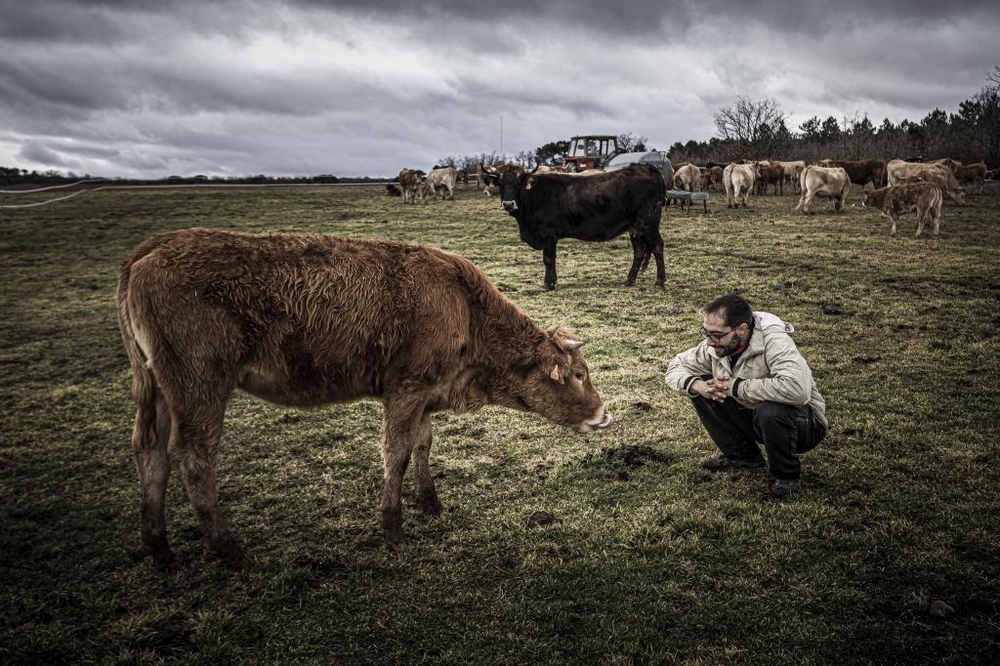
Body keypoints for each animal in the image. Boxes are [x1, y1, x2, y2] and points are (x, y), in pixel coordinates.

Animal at [120, 227, 612, 564]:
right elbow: (397, 453)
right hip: (199, 387)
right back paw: (227, 549)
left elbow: (422, 445)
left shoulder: (424, 396)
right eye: (578, 375)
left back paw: (158, 548)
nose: (604, 414)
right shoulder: (406, 390)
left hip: (156, 390)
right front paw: (394, 531)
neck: (464, 307)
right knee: (193, 457)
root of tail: (153, 248)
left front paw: (430, 503)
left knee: (151, 453)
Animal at [498, 162, 664, 290]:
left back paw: (659, 282)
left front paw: (548, 284)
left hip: (648, 223)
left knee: (657, 246)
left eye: (518, 183)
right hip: (635, 227)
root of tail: (647, 167)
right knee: (639, 251)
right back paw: (628, 281)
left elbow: (548, 259)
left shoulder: (549, 234)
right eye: (501, 185)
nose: (508, 204)